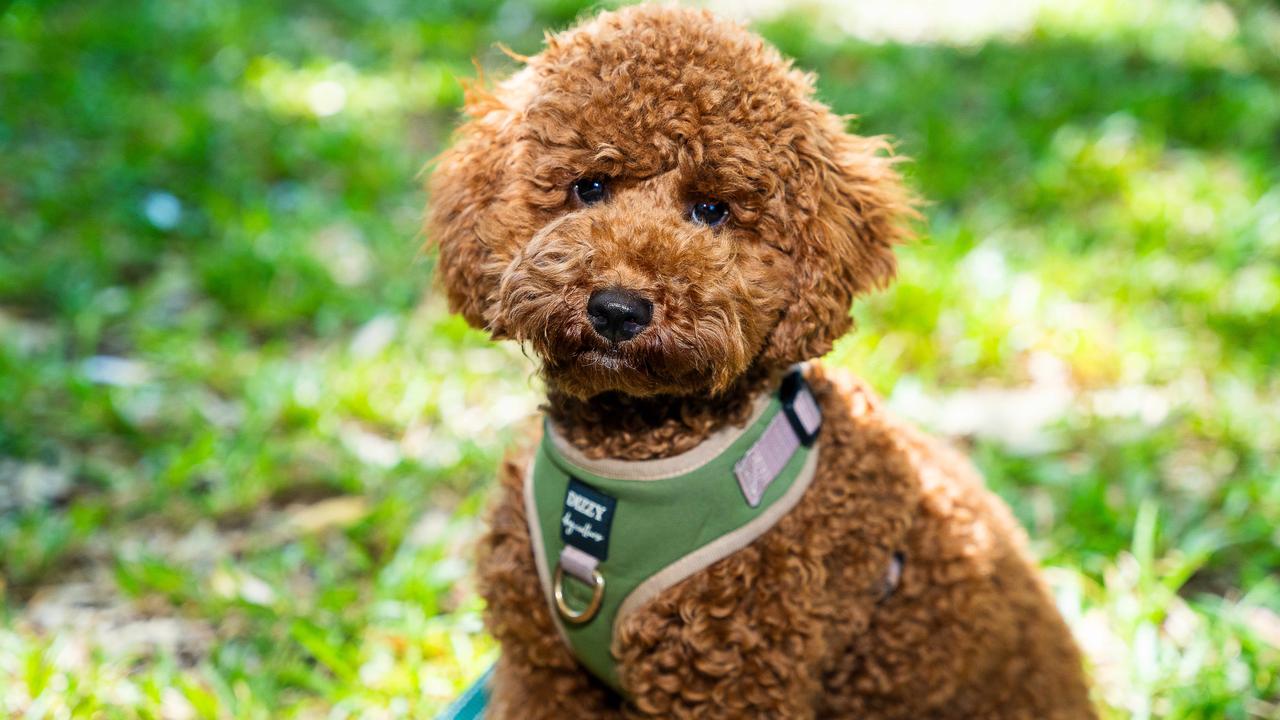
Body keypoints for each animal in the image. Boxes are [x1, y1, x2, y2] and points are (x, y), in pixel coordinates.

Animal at [424, 5, 1095, 717]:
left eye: (711, 210)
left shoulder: (736, 682)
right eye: (590, 187)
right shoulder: (542, 671)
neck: (625, 462)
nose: (617, 309)